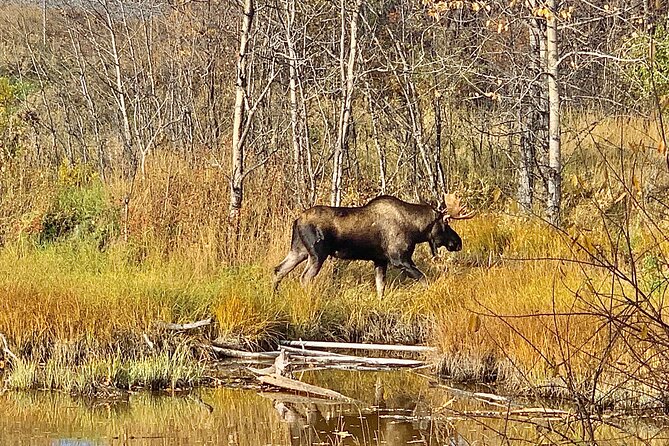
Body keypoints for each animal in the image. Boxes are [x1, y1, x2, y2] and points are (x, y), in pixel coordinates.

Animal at [272, 194, 474, 296]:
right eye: (446, 224)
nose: (458, 243)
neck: (416, 230)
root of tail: (297, 220)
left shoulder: (380, 260)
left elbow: (380, 288)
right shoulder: (399, 259)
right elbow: (424, 279)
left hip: (299, 250)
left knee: (279, 270)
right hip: (316, 254)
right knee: (304, 278)